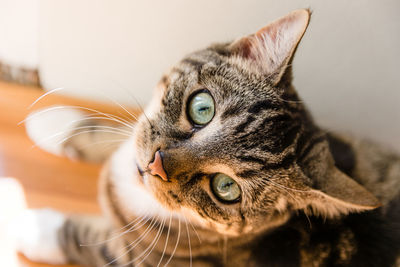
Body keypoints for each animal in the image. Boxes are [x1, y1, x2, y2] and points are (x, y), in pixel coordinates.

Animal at [15, 8, 400, 267]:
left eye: (225, 188)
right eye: (202, 107)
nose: (156, 165)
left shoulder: (149, 257)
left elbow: (87, 240)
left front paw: (23, 218)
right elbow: (120, 130)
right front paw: (55, 121)